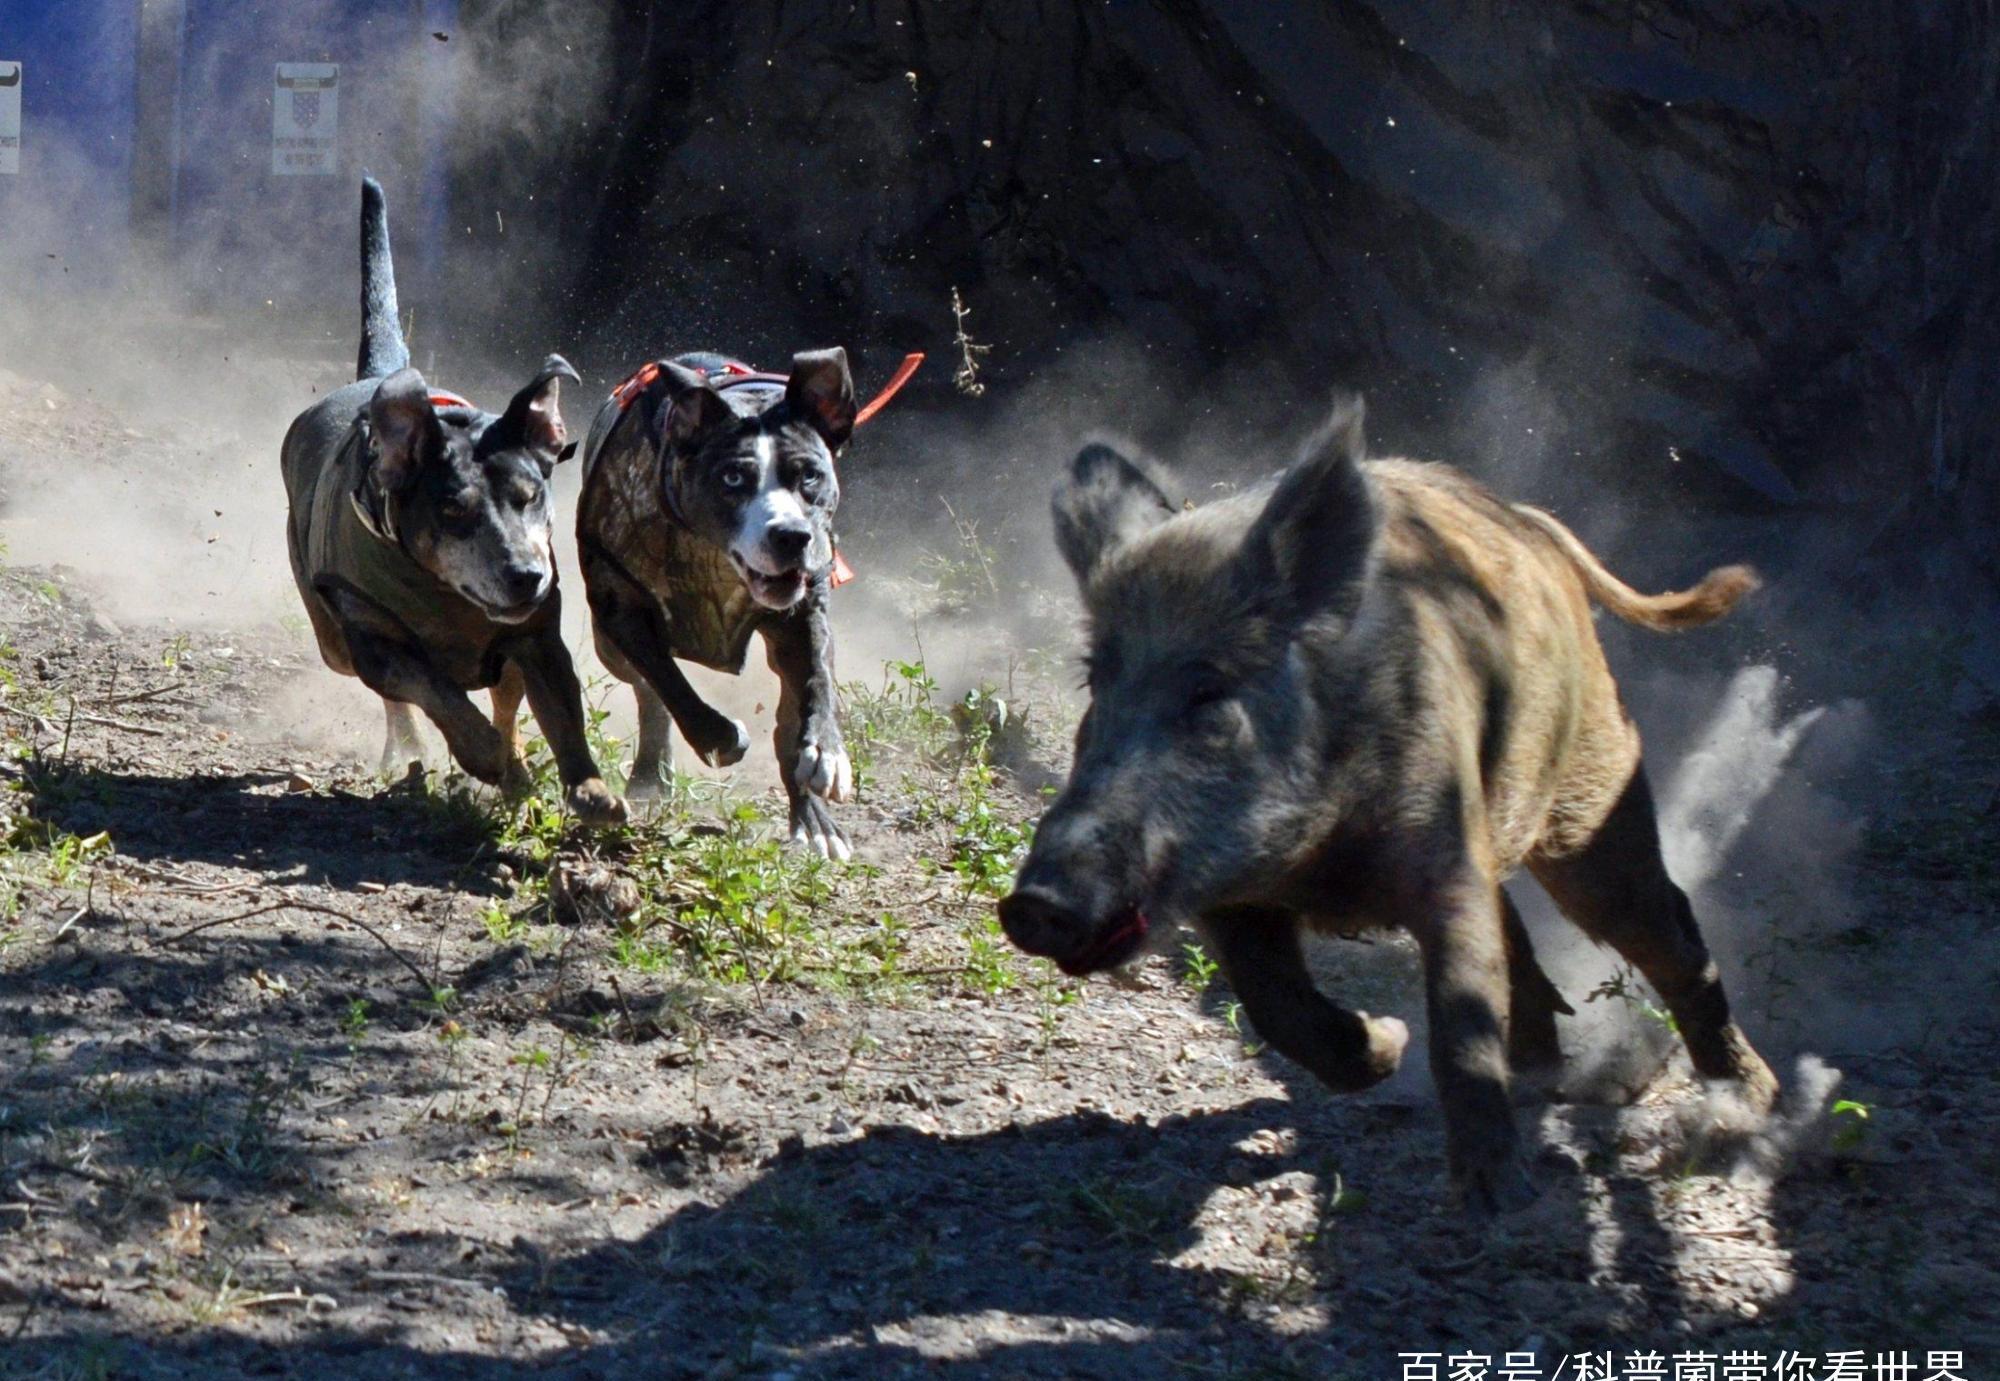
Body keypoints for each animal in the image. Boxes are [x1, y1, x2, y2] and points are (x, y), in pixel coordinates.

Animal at [282, 171, 624, 816]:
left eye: (531, 496)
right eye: (452, 509)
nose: (525, 576)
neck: (445, 596)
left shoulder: (536, 636)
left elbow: (561, 711)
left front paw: (589, 787)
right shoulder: (377, 642)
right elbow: (433, 691)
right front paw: (481, 752)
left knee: (508, 699)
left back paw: (515, 769)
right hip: (334, 640)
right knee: (395, 699)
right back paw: (417, 753)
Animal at [580, 350, 860, 856]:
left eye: (810, 475)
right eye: (732, 476)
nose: (791, 536)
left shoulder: (803, 610)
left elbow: (816, 679)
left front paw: (827, 753)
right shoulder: (620, 605)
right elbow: (667, 683)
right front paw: (720, 738)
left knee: (787, 719)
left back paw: (813, 821)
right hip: (606, 646)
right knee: (648, 693)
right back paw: (652, 773)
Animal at [1000, 398, 1784, 1200]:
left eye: (1208, 693)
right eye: (1097, 682)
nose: (1032, 903)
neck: (1321, 865)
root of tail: (1531, 522)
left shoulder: (1441, 850)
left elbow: (1461, 1017)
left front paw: (1496, 1195)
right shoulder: (1230, 898)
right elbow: (1276, 1007)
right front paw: (1385, 1042)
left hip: (1592, 794)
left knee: (1664, 927)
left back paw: (1747, 1105)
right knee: (1524, 930)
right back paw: (1540, 1071)